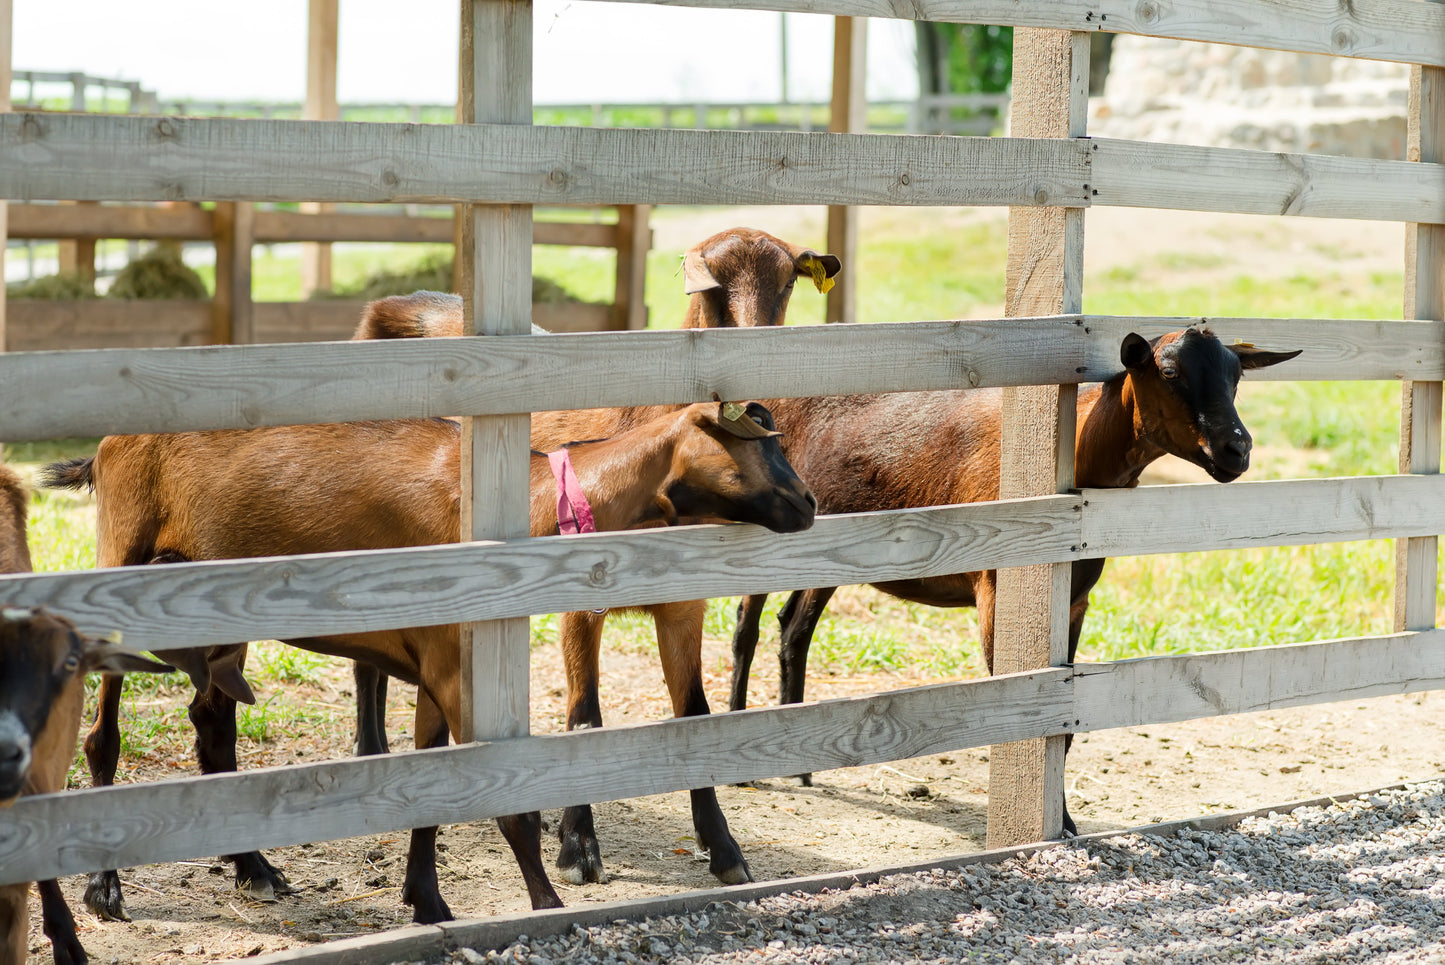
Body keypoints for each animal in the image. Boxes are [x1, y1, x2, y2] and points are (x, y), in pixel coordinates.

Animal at [45, 400, 815, 924]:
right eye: (759, 448)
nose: (809, 504)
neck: (526, 500)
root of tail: (103, 449)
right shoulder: (455, 666)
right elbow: (505, 802)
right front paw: (547, 902)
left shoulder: (438, 659)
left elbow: (432, 782)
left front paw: (427, 900)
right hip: (123, 558)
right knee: (103, 735)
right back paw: (105, 888)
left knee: (211, 723)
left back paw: (255, 868)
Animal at [347, 227, 840, 889]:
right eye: (710, 289)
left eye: (788, 283)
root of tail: (396, 303)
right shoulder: (581, 599)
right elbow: (586, 716)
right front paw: (578, 847)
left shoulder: (683, 603)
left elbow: (695, 714)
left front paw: (724, 849)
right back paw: (371, 753)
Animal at [728, 328, 1301, 831]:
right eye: (1167, 371)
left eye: (1235, 375)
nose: (1236, 449)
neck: (1077, 455)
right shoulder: (996, 589)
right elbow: (1015, 705)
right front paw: (1044, 819)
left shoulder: (1075, 601)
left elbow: (1063, 725)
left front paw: (1065, 822)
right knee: (746, 626)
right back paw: (739, 760)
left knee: (793, 627)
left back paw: (800, 768)